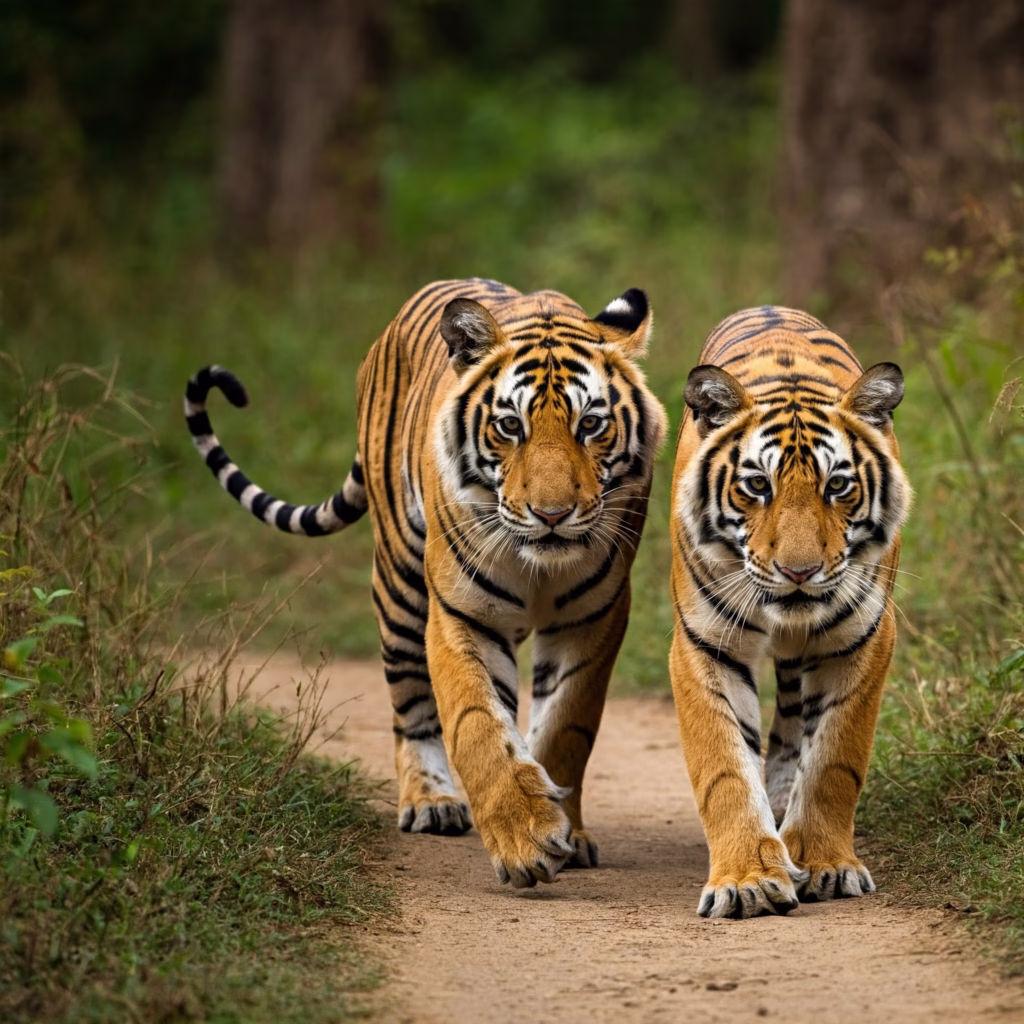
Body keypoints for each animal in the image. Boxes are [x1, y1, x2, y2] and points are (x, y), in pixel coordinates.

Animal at [184, 277, 667, 888]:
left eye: (591, 425)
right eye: (510, 426)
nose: (552, 515)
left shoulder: (592, 618)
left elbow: (564, 726)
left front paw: (566, 830)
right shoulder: (463, 613)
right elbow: (477, 723)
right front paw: (525, 840)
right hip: (399, 587)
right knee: (410, 703)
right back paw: (430, 802)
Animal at [668, 305, 911, 919]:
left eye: (838, 486)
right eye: (757, 485)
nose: (799, 572)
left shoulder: (864, 639)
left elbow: (832, 760)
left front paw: (826, 864)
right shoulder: (704, 644)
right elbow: (725, 768)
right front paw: (747, 880)